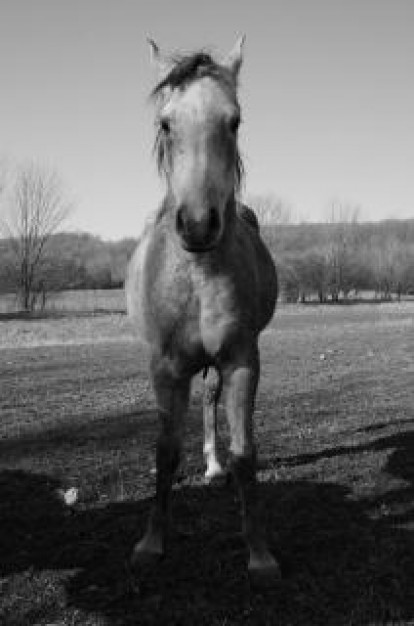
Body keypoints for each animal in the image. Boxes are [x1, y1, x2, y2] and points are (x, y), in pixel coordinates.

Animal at [124, 37, 280, 584]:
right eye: (166, 123)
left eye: (234, 121)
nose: (196, 224)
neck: (196, 272)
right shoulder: (165, 367)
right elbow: (165, 451)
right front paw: (151, 543)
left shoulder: (241, 361)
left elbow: (245, 454)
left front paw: (259, 552)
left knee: (212, 401)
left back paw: (213, 466)